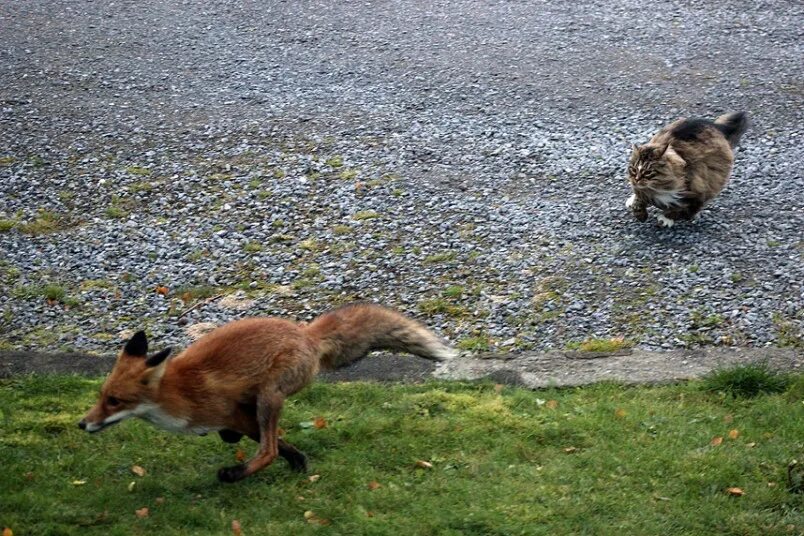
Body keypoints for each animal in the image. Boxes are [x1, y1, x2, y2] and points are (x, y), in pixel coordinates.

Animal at [78, 304, 456, 484]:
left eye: (114, 401)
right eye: (101, 396)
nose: (82, 424)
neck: (177, 392)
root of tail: (305, 333)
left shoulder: (232, 413)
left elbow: (272, 446)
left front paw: (284, 462)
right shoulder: (236, 419)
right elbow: (282, 444)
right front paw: (300, 461)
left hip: (269, 397)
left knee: (267, 450)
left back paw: (235, 475)